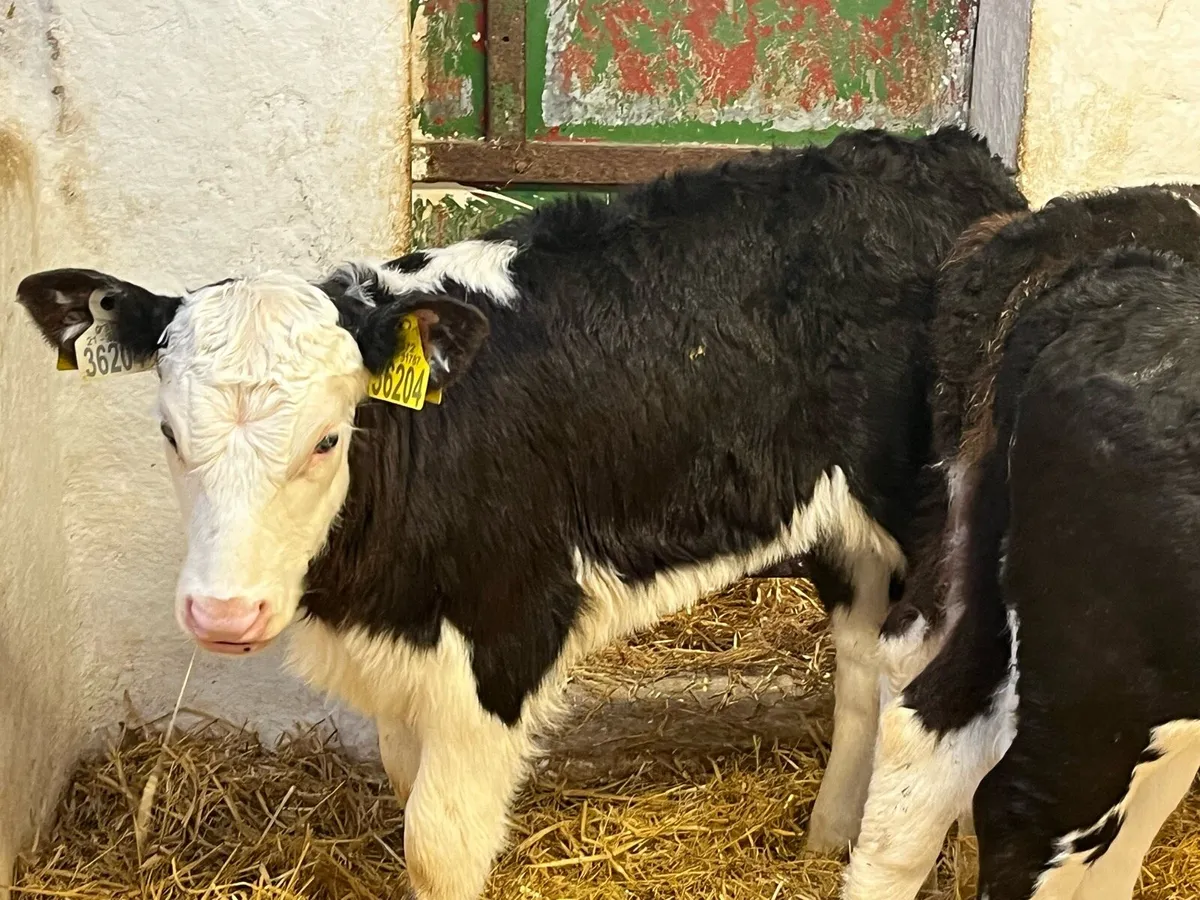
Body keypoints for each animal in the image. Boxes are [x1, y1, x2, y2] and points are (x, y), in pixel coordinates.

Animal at [16, 127, 1025, 900]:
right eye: (167, 432)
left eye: (328, 440)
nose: (224, 614)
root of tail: (949, 152)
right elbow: (404, 784)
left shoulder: (506, 635)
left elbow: (439, 845)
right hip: (843, 529)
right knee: (862, 666)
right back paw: (828, 836)